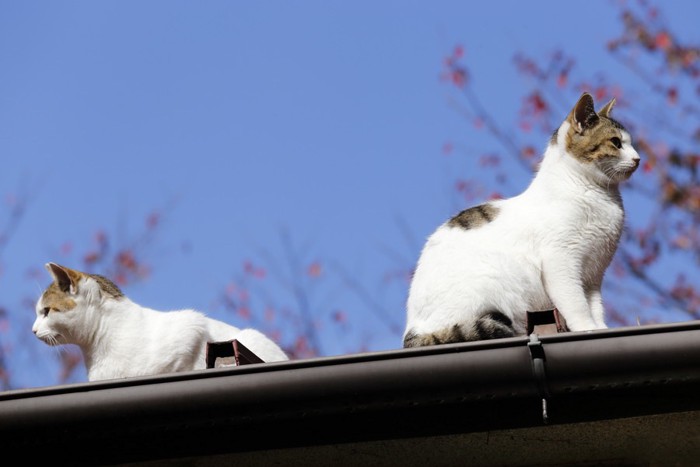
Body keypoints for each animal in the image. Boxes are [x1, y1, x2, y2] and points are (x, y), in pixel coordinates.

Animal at [404, 92, 640, 348]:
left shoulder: (593, 275)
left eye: (631, 144)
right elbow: (577, 305)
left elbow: (595, 307)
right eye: (616, 142)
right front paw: (587, 329)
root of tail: (411, 332)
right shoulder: (561, 262)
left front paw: (600, 328)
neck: (599, 195)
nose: (638, 158)